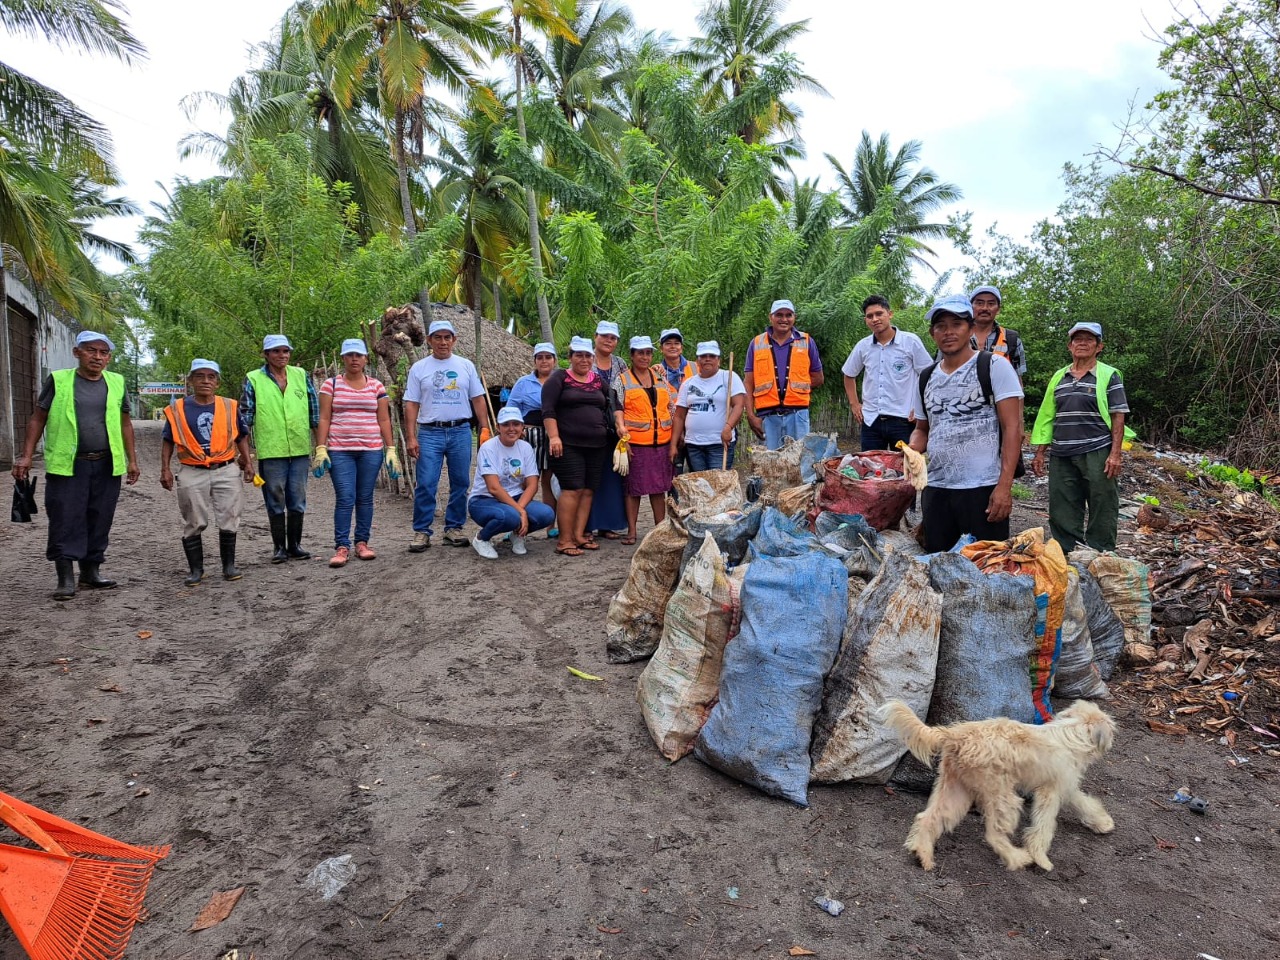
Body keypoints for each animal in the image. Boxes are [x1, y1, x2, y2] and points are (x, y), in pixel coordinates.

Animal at [885, 701, 1116, 870]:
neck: (1073, 731)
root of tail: (955, 735)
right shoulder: (1050, 793)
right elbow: (1044, 825)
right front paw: (1041, 858)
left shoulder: (1065, 786)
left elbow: (1083, 802)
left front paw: (1102, 823)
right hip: (1003, 798)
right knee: (994, 835)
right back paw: (1017, 858)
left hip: (955, 790)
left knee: (927, 818)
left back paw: (923, 855)